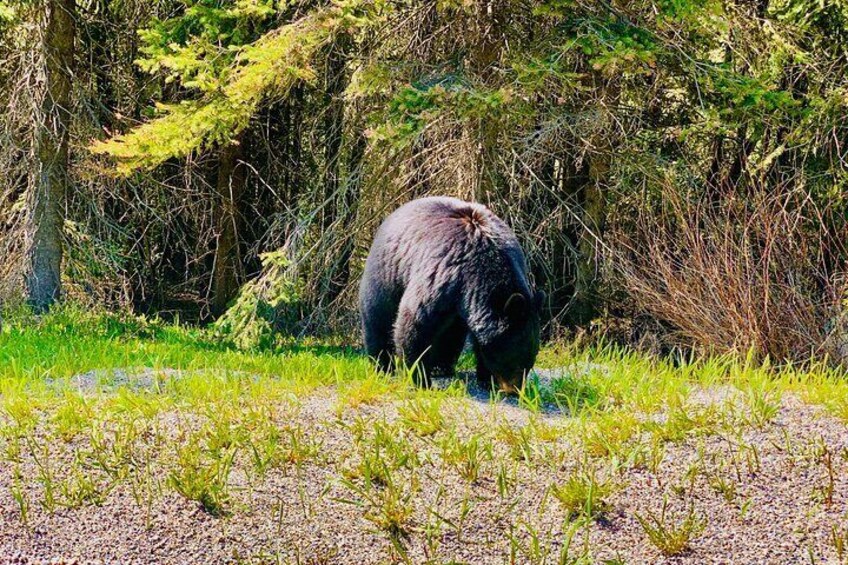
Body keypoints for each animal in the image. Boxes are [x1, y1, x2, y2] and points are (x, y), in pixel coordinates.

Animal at [358, 196, 544, 390]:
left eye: (531, 359)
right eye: (513, 361)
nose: (515, 390)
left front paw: (486, 378)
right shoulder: (442, 277)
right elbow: (415, 323)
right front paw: (420, 379)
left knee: (451, 334)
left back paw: (442, 366)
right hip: (385, 273)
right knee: (378, 318)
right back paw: (383, 366)